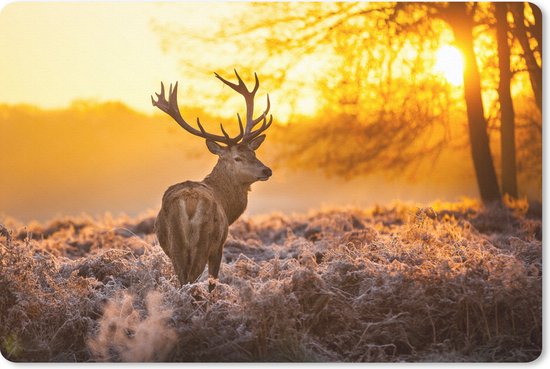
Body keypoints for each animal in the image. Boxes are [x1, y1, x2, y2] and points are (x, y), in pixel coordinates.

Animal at [152, 69, 272, 290]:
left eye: (254, 152)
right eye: (237, 158)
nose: (267, 170)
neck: (227, 204)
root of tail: (189, 202)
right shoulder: (219, 246)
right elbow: (213, 281)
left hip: (175, 246)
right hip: (204, 241)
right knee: (191, 279)